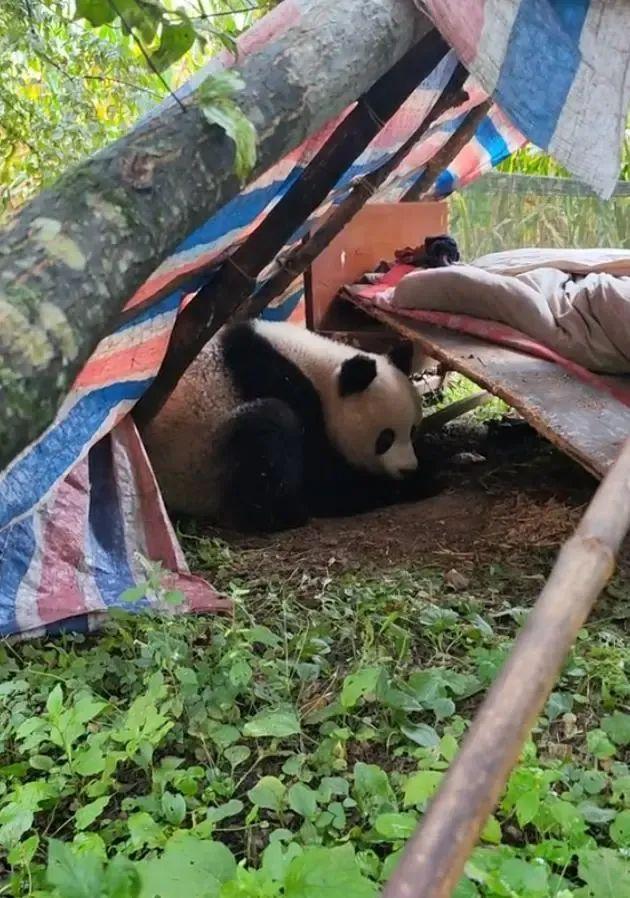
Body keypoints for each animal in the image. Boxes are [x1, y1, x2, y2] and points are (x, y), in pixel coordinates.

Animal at [140, 319, 444, 533]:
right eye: (385, 438)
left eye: (413, 430)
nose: (407, 469)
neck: (318, 368)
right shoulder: (284, 385)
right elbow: (323, 481)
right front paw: (417, 483)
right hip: (197, 461)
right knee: (267, 428)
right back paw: (283, 515)